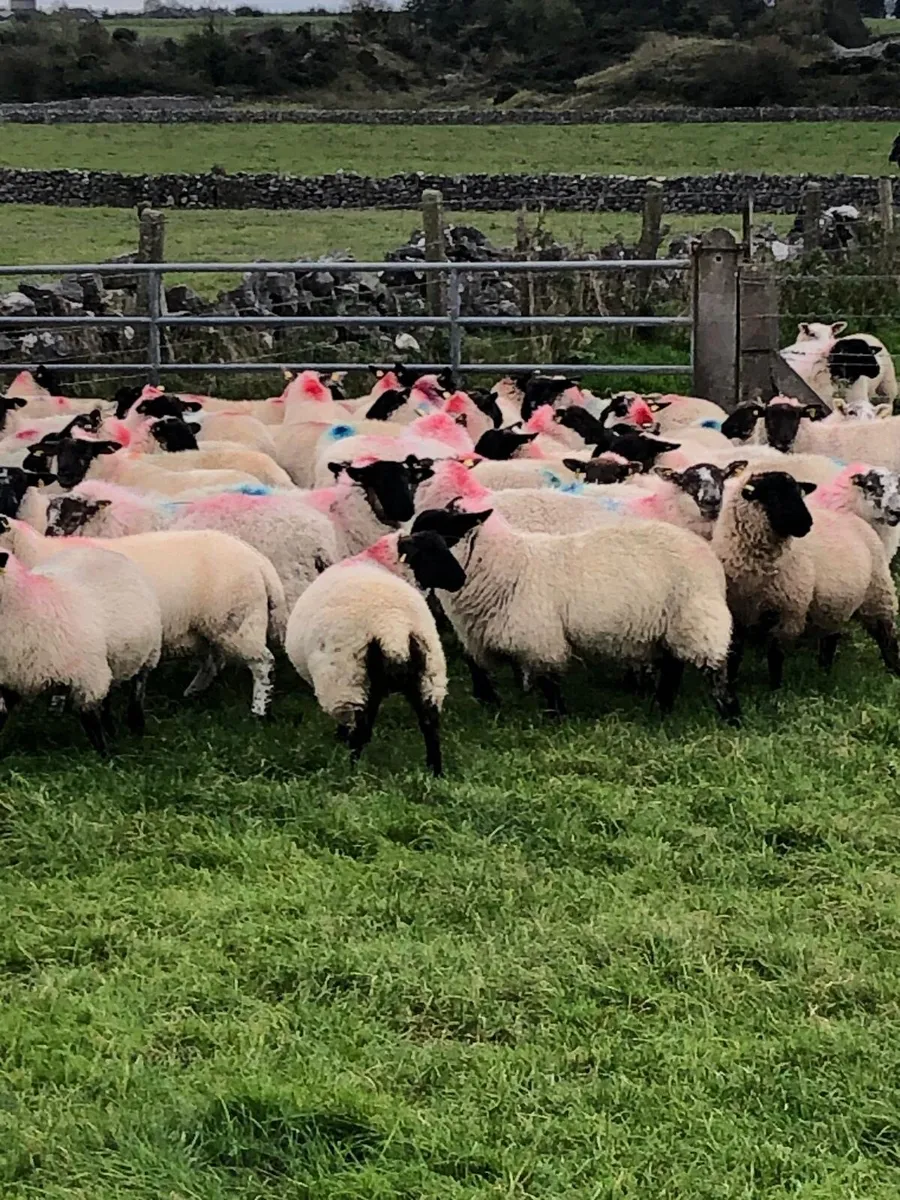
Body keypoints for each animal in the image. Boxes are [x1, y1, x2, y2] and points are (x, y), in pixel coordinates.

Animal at [0, 535, 162, 754]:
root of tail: (105, 552)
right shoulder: (8, 679)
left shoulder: (87, 676)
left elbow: (91, 720)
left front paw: (105, 756)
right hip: (110, 660)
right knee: (108, 696)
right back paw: (113, 729)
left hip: (148, 653)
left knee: (137, 689)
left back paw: (136, 727)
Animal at [1, 519, 286, 718]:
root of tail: (259, 560)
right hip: (214, 625)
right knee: (215, 660)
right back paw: (193, 691)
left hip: (237, 622)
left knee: (263, 664)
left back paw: (258, 711)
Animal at [286, 526, 474, 775]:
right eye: (431, 552)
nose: (460, 579)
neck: (376, 561)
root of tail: (392, 626)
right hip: (428, 675)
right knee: (429, 725)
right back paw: (435, 771)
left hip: (348, 680)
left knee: (360, 731)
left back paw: (351, 771)